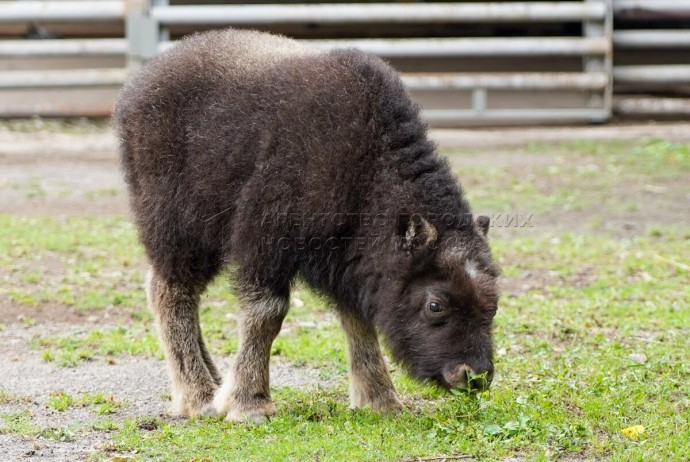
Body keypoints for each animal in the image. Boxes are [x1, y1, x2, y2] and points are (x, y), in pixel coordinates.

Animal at [115, 28, 498, 422]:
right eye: (435, 305)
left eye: (494, 304)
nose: (474, 376)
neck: (366, 167)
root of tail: (139, 87)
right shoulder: (265, 243)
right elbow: (266, 315)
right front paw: (250, 404)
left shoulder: (346, 262)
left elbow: (358, 319)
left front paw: (381, 400)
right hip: (178, 230)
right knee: (171, 292)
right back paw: (199, 396)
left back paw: (215, 382)